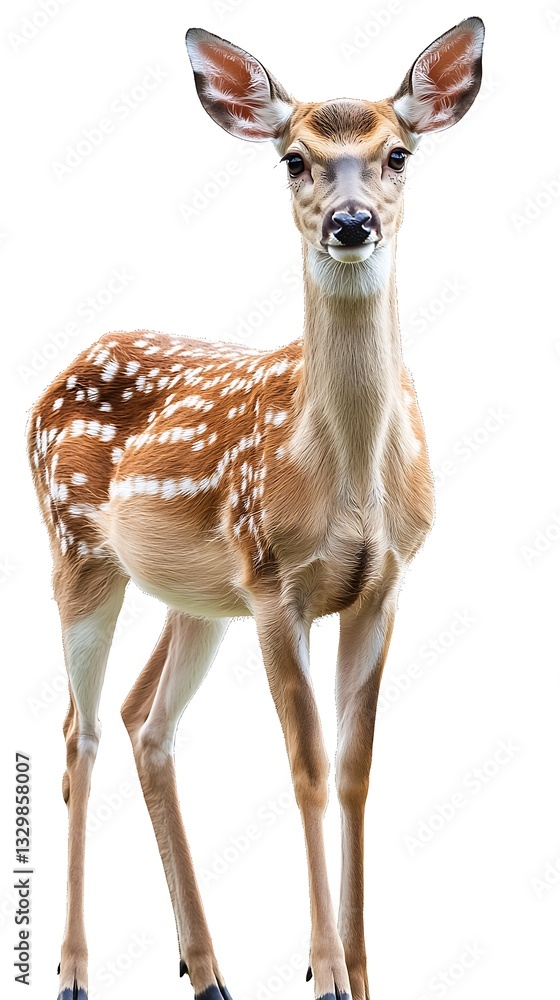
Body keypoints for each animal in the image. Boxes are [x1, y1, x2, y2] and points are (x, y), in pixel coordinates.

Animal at [28, 17, 485, 1000]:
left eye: (398, 153)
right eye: (293, 159)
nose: (351, 224)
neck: (348, 476)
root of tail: (58, 369)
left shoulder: (383, 585)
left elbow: (354, 772)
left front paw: (360, 971)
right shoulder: (279, 584)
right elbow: (305, 767)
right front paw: (324, 971)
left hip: (198, 597)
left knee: (144, 721)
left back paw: (207, 969)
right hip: (77, 551)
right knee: (80, 731)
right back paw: (75, 969)